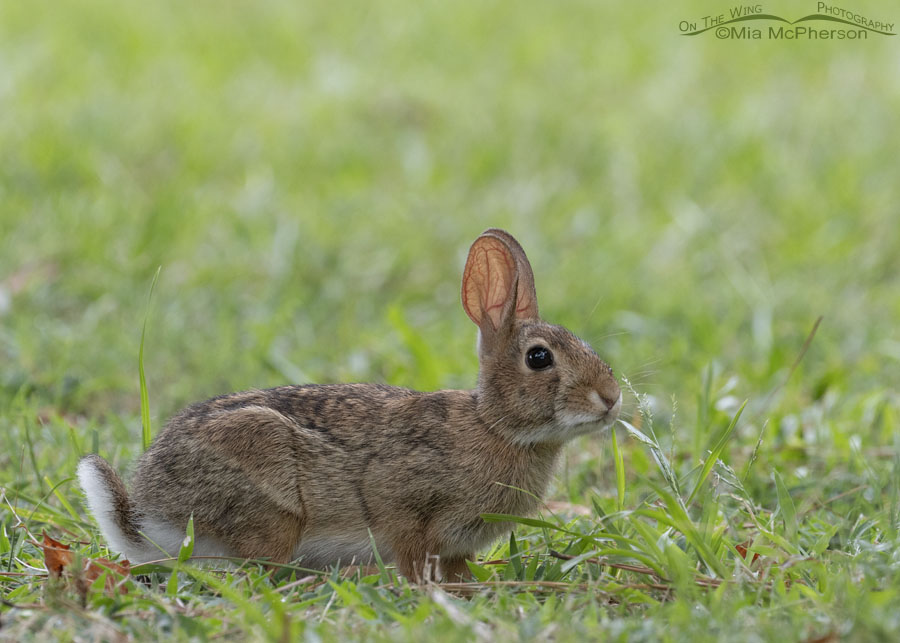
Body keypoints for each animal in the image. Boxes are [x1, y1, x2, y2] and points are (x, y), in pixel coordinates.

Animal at [77, 229, 620, 580]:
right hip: (269, 497)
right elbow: (411, 555)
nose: (612, 399)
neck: (495, 426)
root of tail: (147, 515)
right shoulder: (406, 510)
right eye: (539, 358)